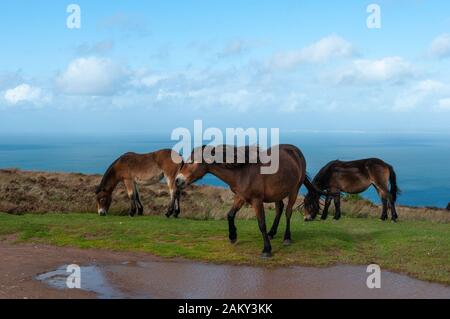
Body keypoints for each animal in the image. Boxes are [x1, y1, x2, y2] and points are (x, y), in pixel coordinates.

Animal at [174, 144, 322, 258]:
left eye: (192, 161)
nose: (178, 180)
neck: (242, 172)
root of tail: (296, 152)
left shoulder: (257, 201)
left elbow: (261, 224)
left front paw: (266, 249)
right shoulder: (241, 197)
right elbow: (230, 215)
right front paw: (233, 236)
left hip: (294, 190)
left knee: (288, 212)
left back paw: (286, 238)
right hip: (278, 192)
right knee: (279, 208)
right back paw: (272, 233)